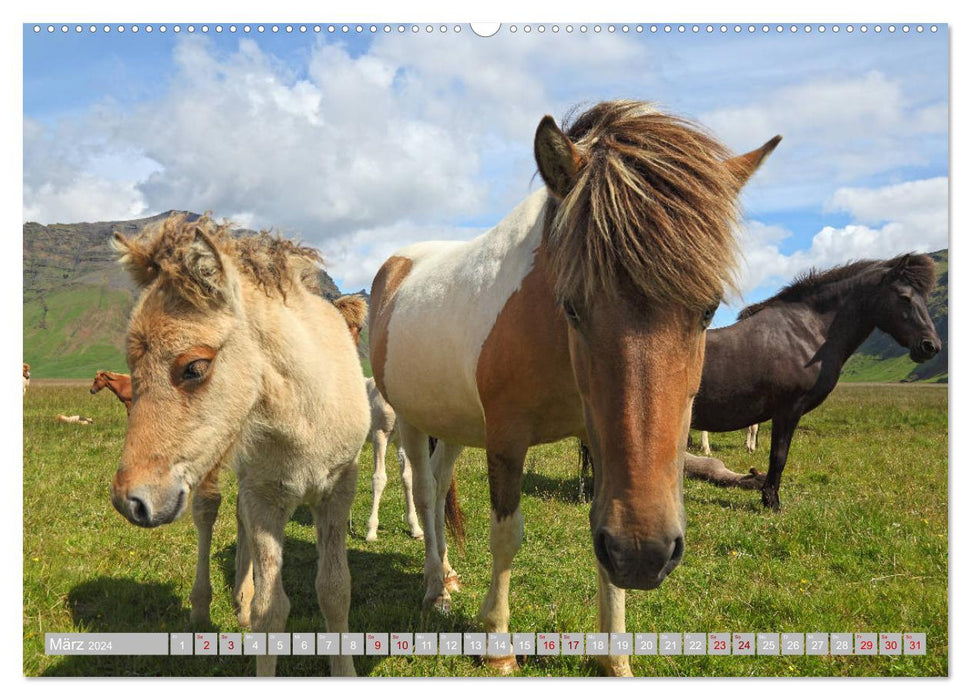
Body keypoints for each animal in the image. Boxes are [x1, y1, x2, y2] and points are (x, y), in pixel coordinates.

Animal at [108, 216, 370, 676]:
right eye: (131, 369)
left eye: (195, 366)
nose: (130, 501)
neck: (305, 416)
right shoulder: (266, 497)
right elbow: (272, 609)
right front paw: (252, 611)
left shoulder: (338, 490)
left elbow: (336, 590)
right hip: (212, 463)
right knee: (208, 511)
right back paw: (205, 606)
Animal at [370, 101, 784, 676]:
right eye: (571, 305)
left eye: (708, 310)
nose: (646, 555)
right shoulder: (505, 439)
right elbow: (506, 535)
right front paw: (497, 643)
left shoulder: (598, 439)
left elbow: (600, 540)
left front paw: (615, 659)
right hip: (408, 418)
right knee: (424, 492)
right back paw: (435, 589)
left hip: (451, 423)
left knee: (437, 480)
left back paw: (449, 577)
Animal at [692, 252, 940, 508]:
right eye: (905, 297)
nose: (930, 346)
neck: (805, 333)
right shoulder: (788, 409)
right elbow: (779, 455)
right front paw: (771, 501)